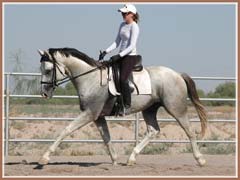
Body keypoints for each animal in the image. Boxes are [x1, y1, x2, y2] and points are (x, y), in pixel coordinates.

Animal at [38, 47, 207, 167]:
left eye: (48, 70)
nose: (44, 93)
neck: (90, 78)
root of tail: (177, 74)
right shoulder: (98, 116)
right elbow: (106, 137)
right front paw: (114, 160)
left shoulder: (89, 113)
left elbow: (67, 130)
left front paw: (44, 157)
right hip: (149, 109)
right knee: (153, 131)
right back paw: (131, 158)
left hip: (176, 108)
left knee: (189, 130)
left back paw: (200, 159)